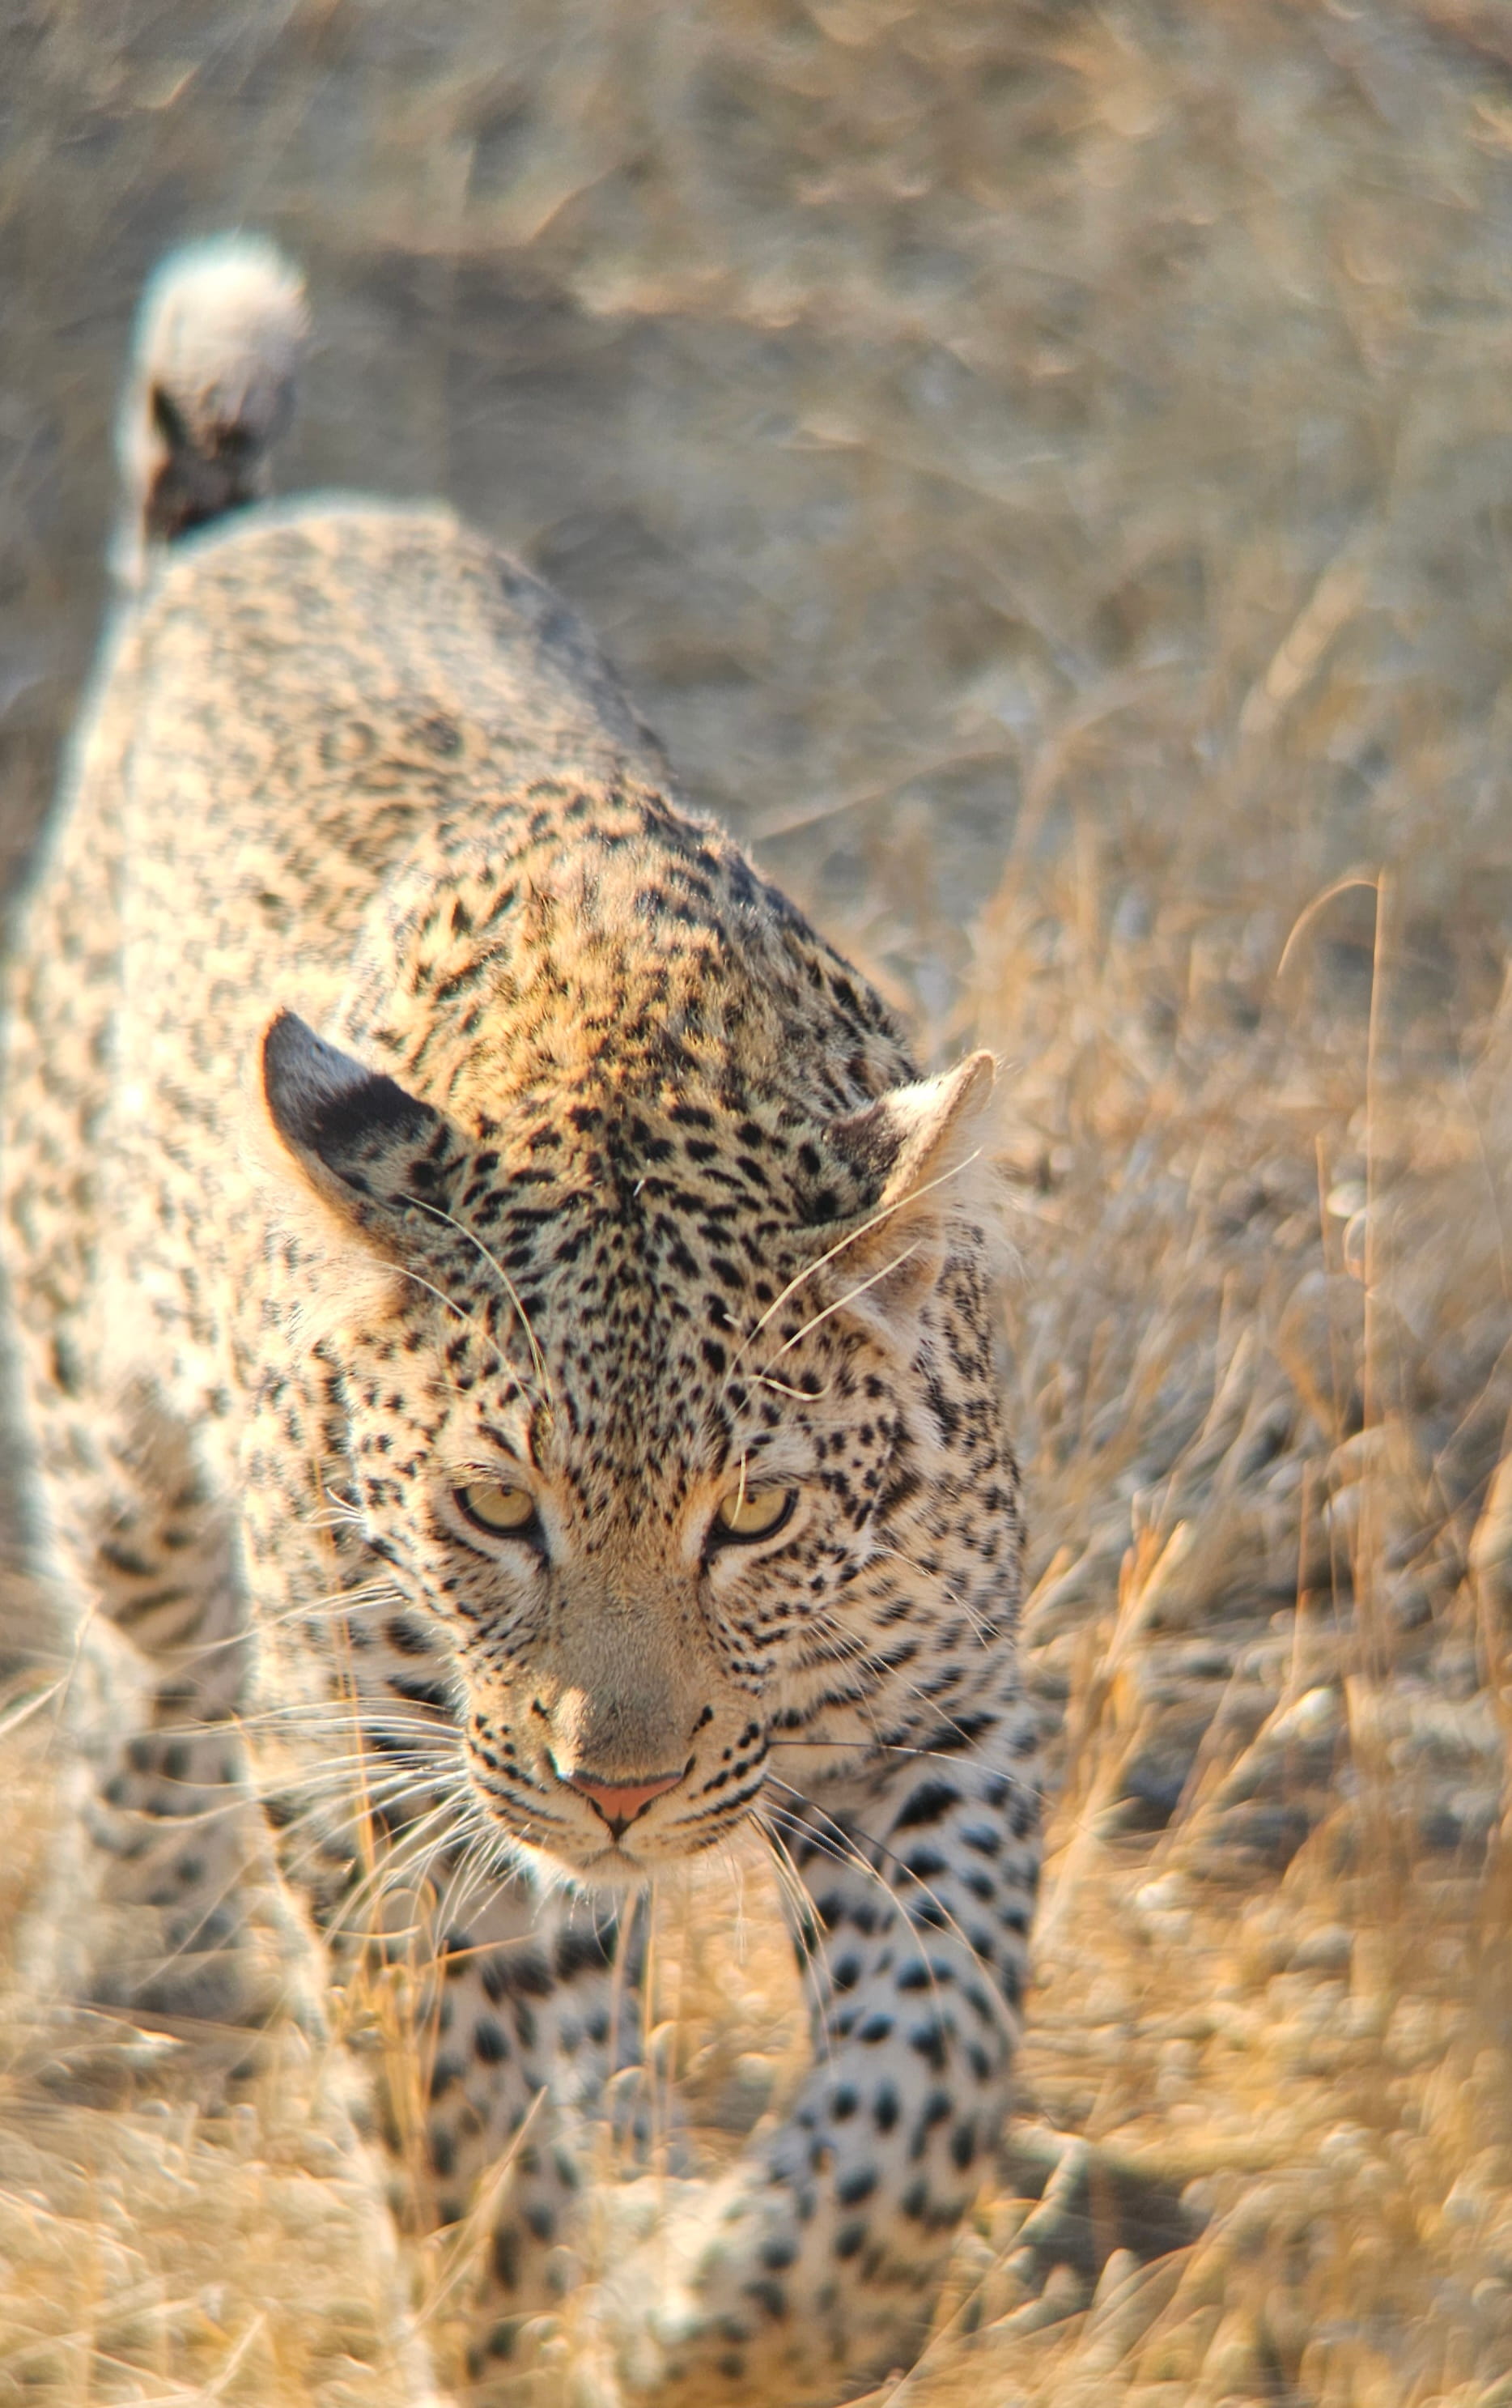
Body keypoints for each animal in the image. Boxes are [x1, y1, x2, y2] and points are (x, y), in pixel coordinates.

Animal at [1, 235, 1043, 2407]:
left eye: (757, 1514)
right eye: (495, 1509)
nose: (621, 1782)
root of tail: (262, 528)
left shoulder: (947, 1718)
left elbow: (923, 2071)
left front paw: (746, 2307)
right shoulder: (374, 1773)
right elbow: (455, 2136)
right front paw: (545, 2308)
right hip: (93, 1387)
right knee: (145, 1676)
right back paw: (125, 1966)